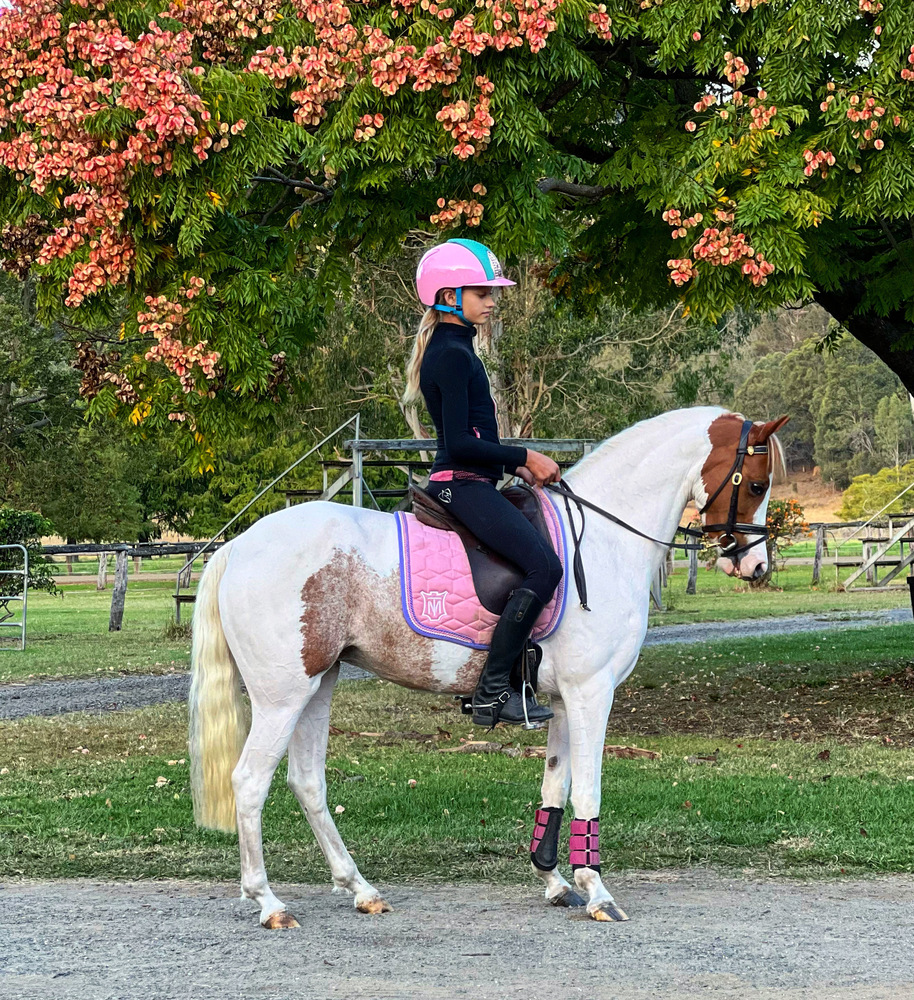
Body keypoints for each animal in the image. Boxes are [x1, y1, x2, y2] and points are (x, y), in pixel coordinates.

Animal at [188, 406, 787, 927]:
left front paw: (554, 881)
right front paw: (597, 891)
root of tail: (240, 545)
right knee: (250, 781)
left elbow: (556, 786)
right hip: (283, 695)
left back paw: (360, 889)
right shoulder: (592, 693)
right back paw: (268, 902)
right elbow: (588, 790)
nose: (755, 565)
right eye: (757, 485)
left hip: (319, 685)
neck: (603, 539)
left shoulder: (563, 700)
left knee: (307, 781)